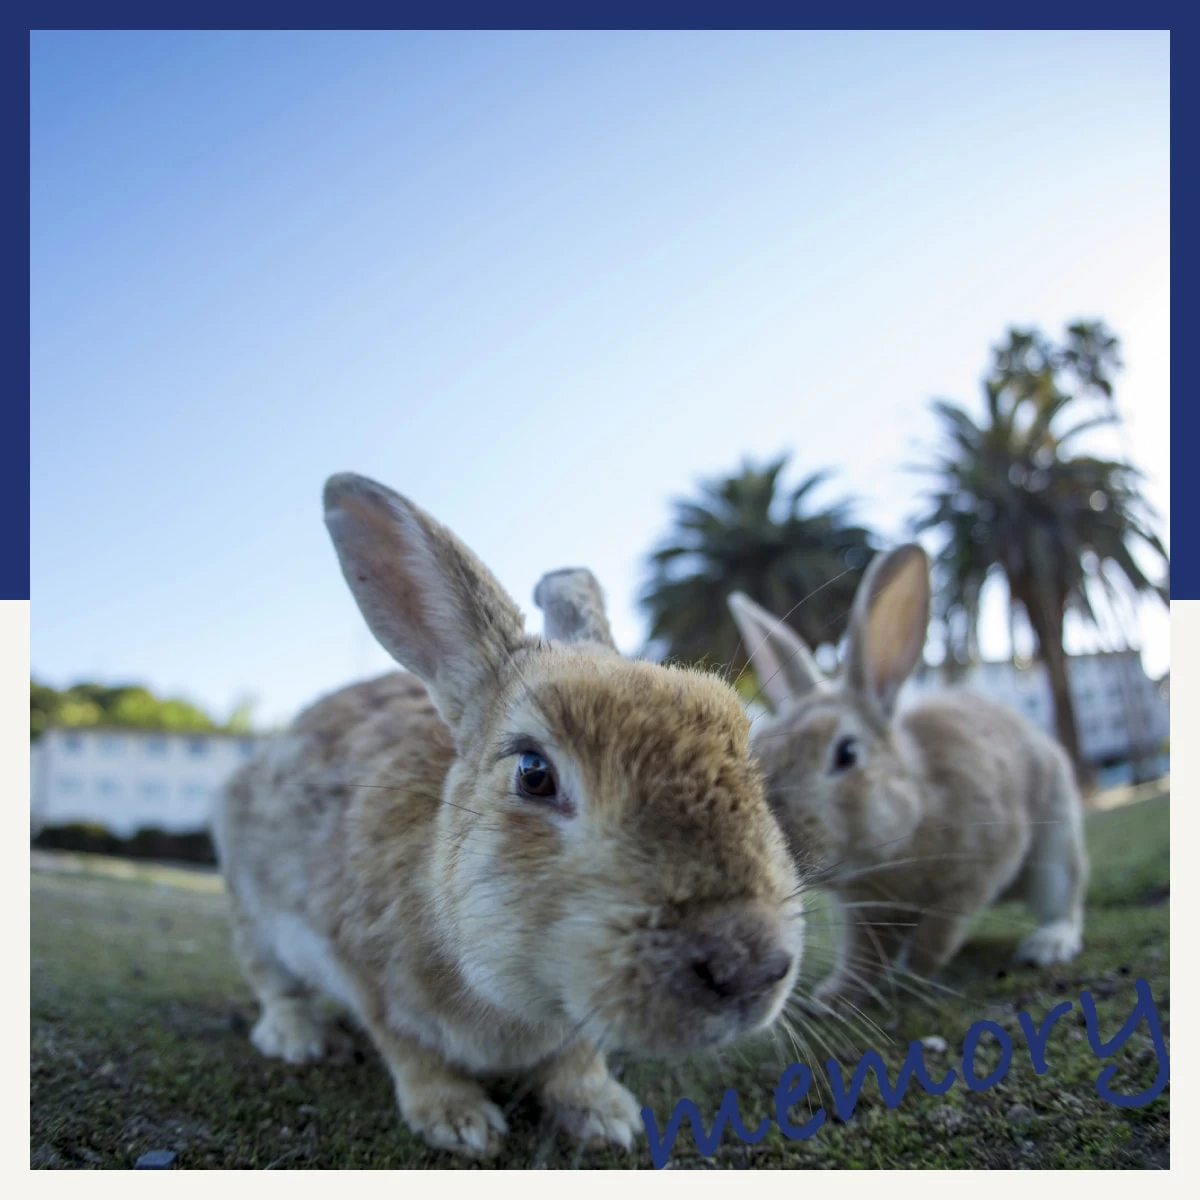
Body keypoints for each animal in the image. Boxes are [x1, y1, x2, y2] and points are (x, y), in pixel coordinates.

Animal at [213, 477, 806, 1161]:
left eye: (747, 757)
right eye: (533, 772)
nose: (750, 966)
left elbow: (576, 1060)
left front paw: (603, 1114)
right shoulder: (367, 975)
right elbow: (411, 1053)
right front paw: (460, 1122)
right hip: (251, 911)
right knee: (272, 981)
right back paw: (300, 1038)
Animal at [724, 544, 1094, 1012]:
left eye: (846, 753)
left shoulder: (981, 866)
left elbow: (941, 926)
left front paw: (914, 965)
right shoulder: (860, 910)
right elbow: (861, 955)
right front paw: (832, 997)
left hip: (1058, 847)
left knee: (1064, 902)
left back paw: (1047, 945)